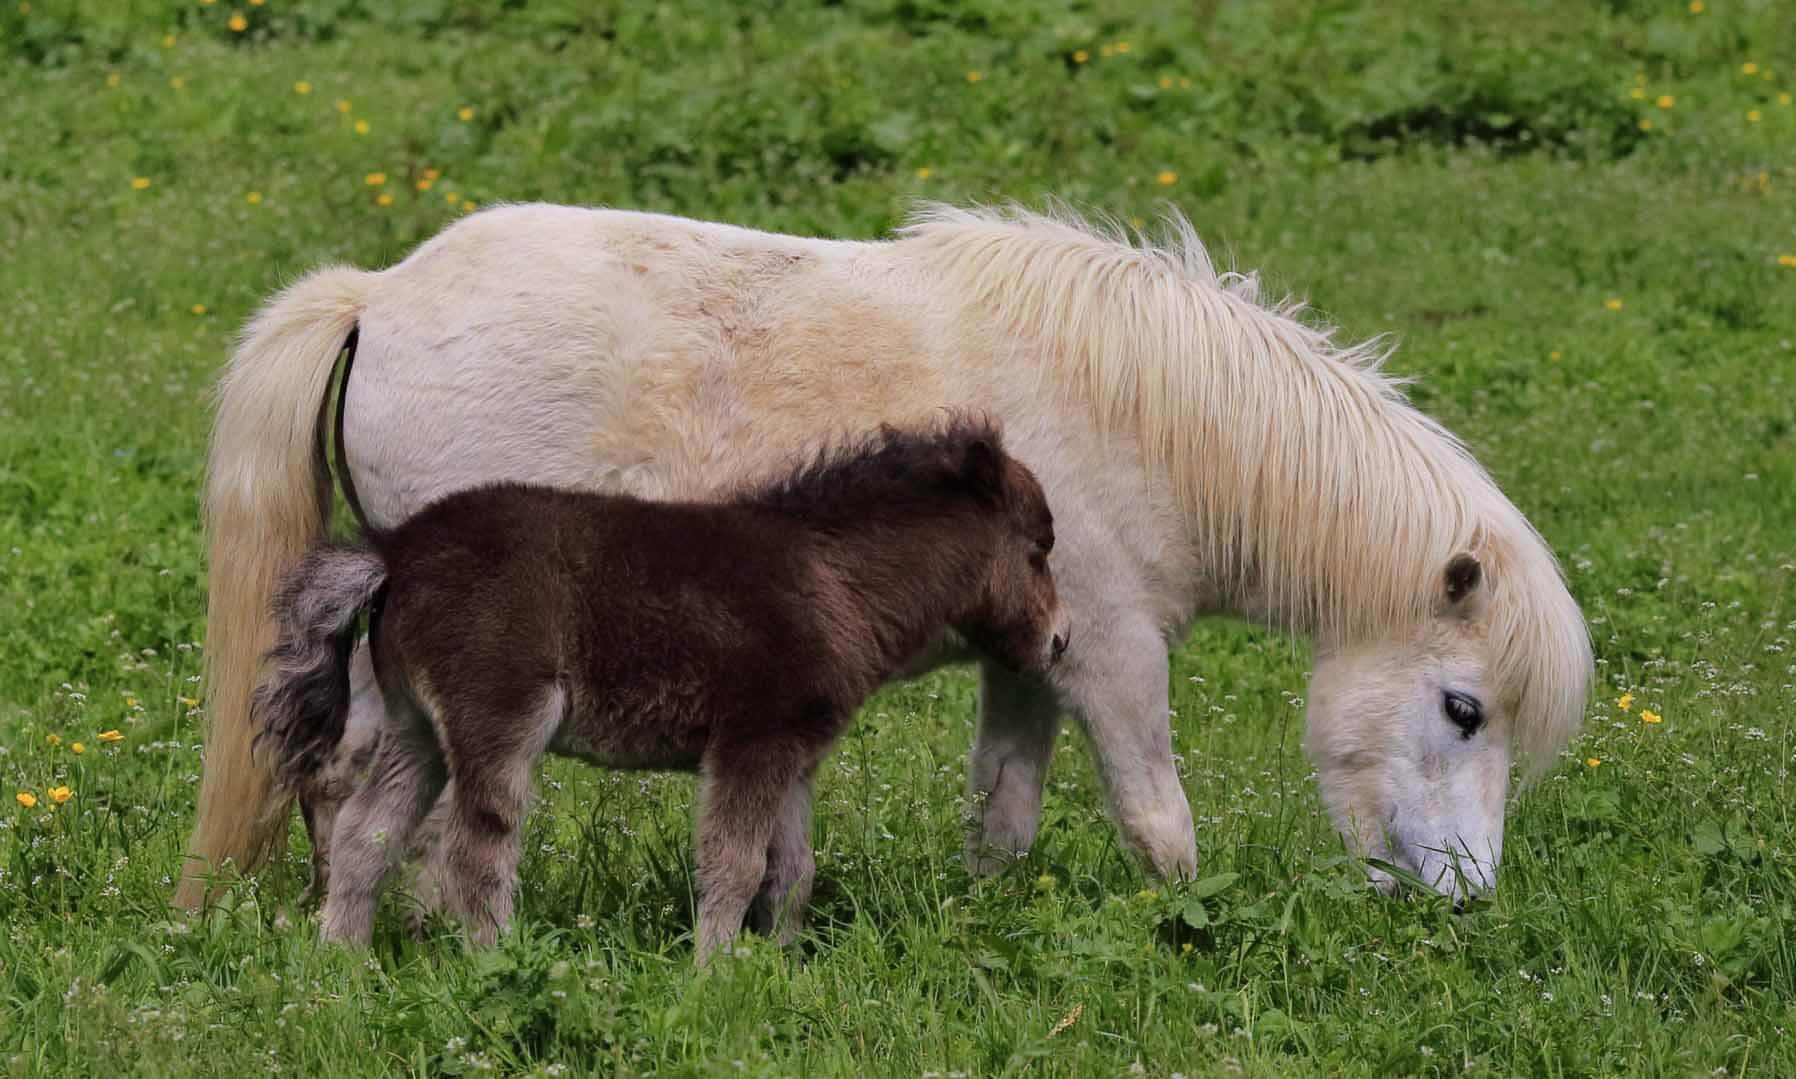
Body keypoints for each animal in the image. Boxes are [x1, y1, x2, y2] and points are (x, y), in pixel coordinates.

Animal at [178, 201, 1587, 908]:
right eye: (1463, 708)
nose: (1463, 901)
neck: (1142, 413)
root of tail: (376, 292)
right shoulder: (1112, 655)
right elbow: (1160, 826)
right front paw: (1180, 939)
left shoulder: (1033, 657)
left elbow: (1002, 819)